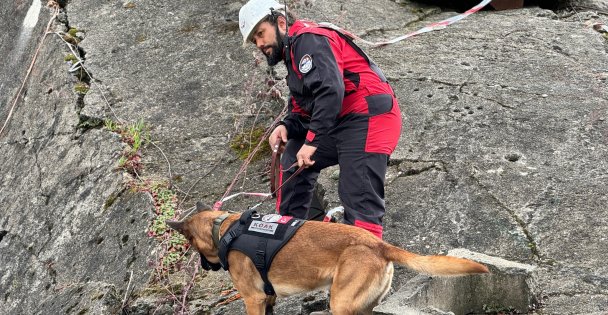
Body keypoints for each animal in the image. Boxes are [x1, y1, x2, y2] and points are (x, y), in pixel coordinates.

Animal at [166, 207, 490, 315]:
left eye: (191, 245)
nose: (204, 267)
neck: (223, 227)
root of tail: (379, 244)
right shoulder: (267, 298)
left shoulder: (253, 299)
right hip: (363, 305)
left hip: (341, 303)